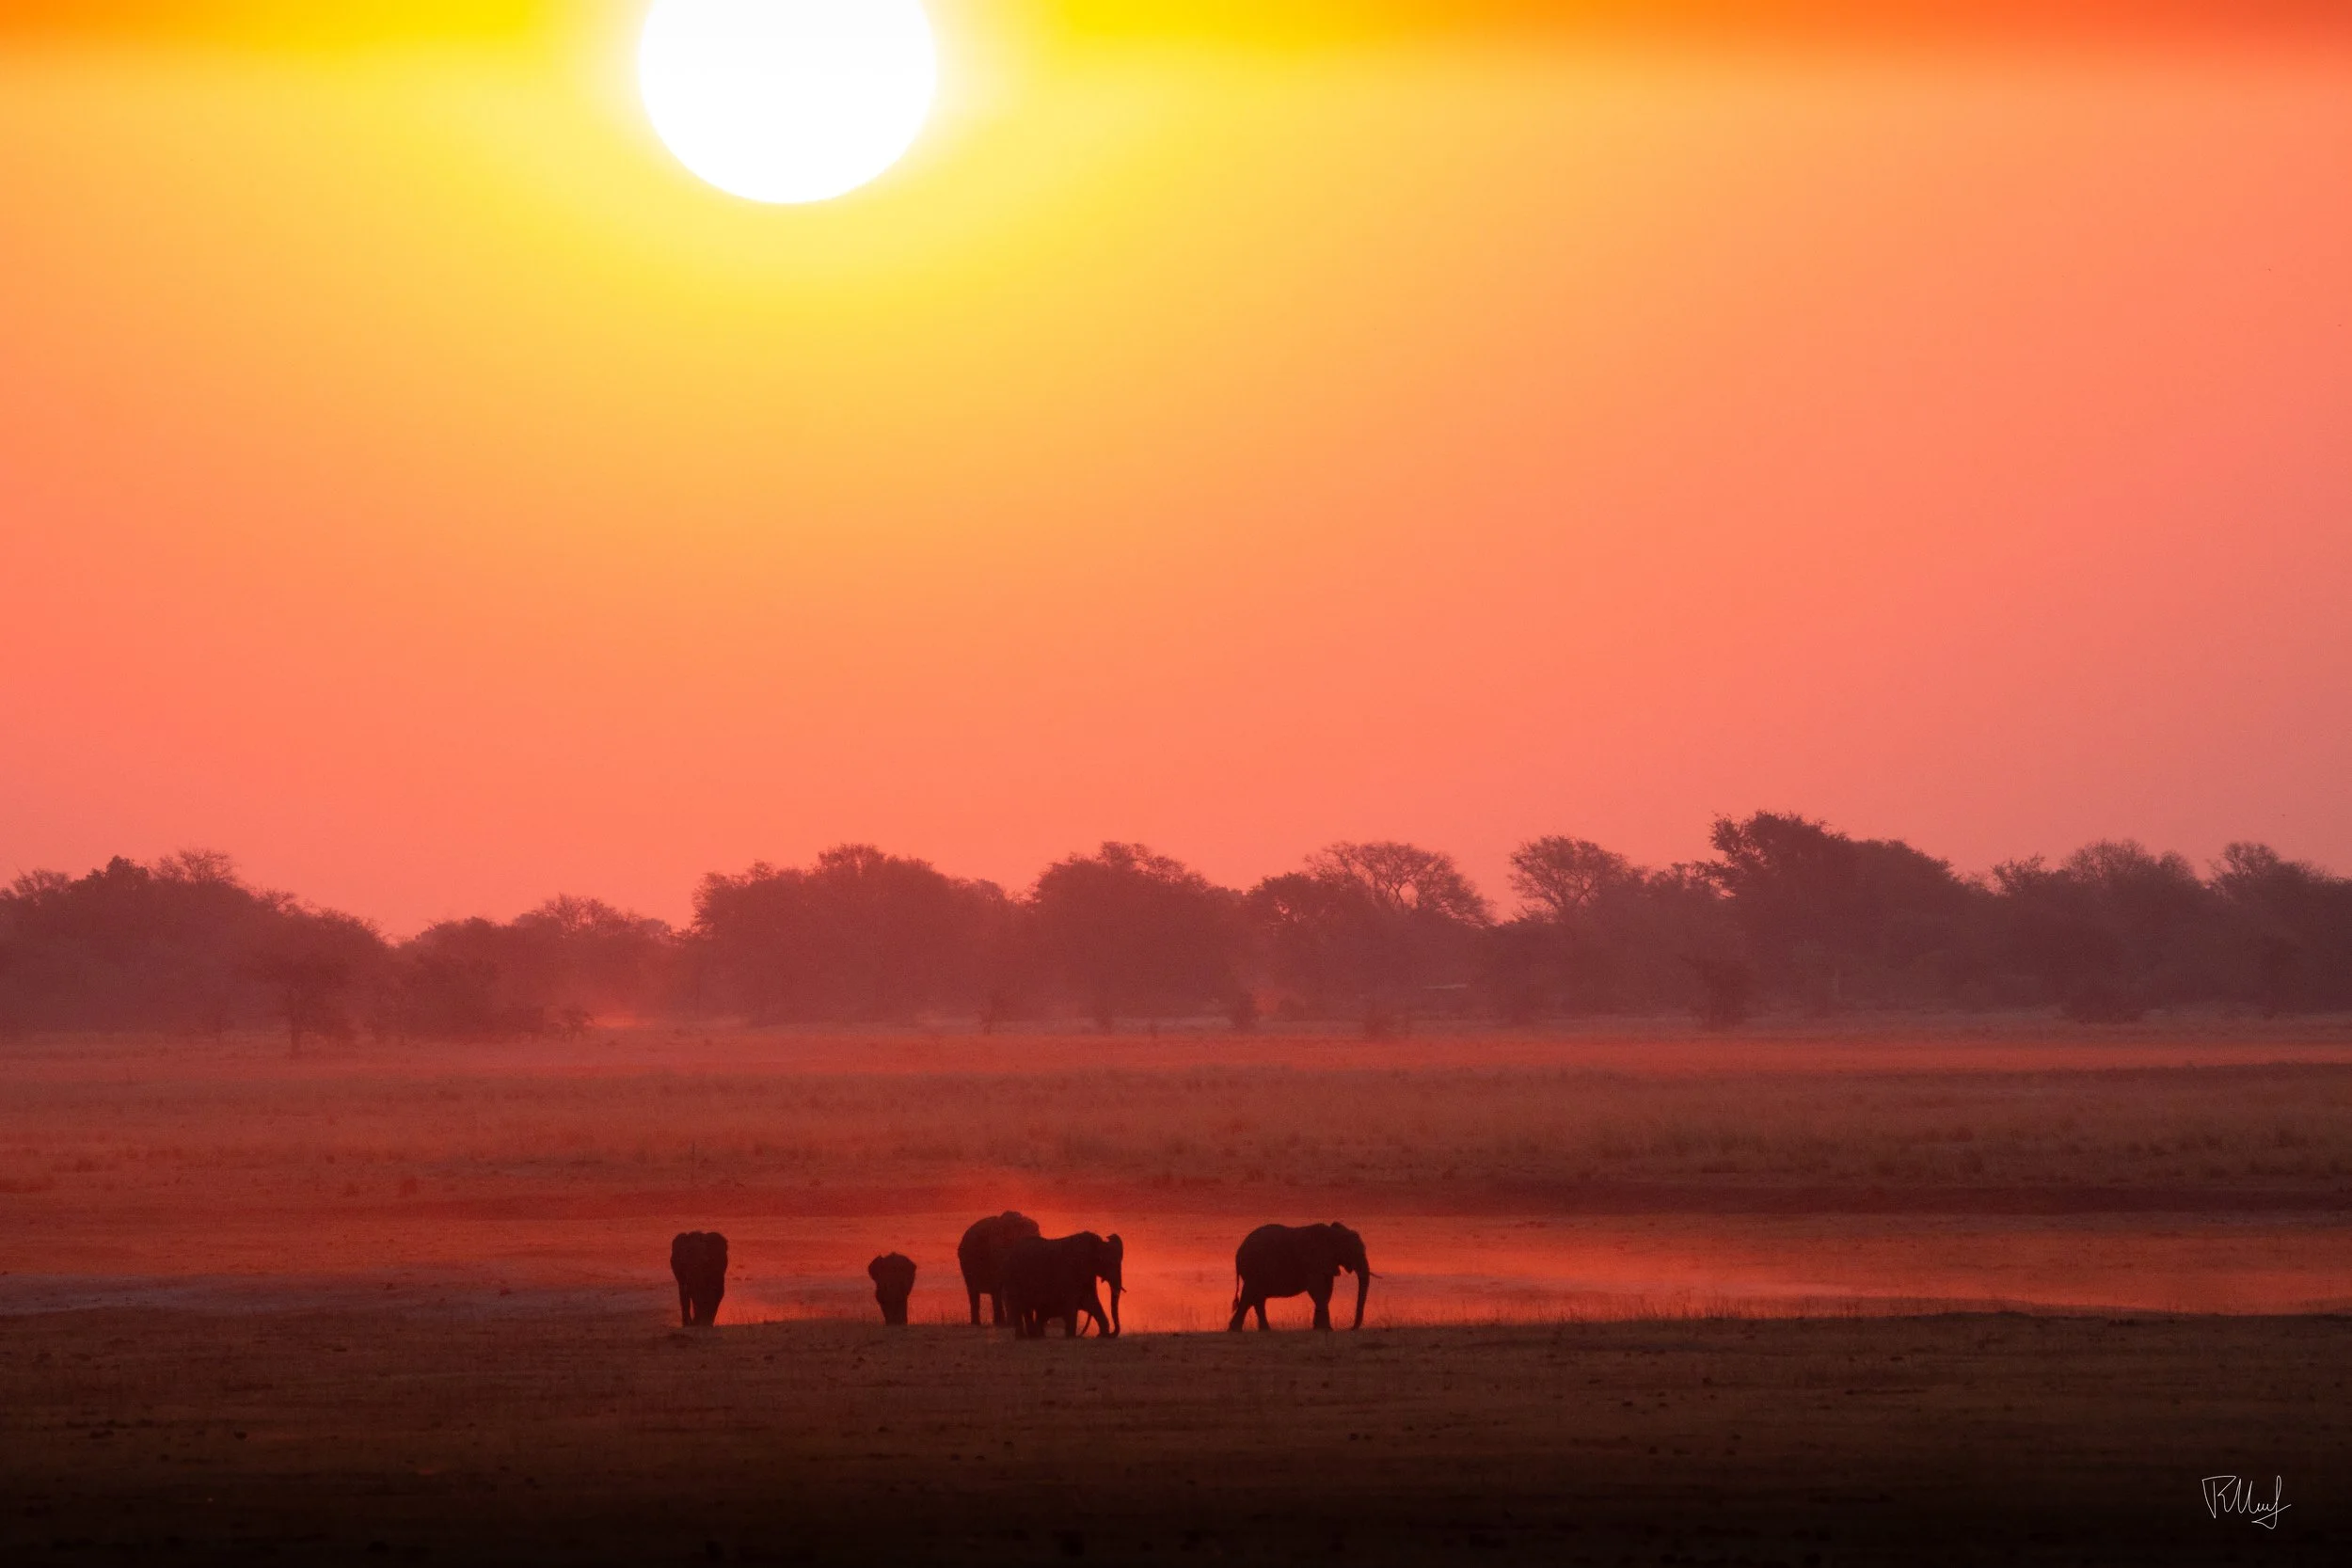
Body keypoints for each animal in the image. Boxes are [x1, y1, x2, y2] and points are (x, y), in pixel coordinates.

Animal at [999, 1231, 1124, 1339]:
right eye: (1111, 1263)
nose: (1112, 1334)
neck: (1098, 1244)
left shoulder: (1086, 1275)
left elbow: (1090, 1301)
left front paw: (1102, 1335)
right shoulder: (1072, 1271)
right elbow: (1074, 1301)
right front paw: (1071, 1337)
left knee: (1026, 1308)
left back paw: (1034, 1337)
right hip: (1012, 1278)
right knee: (1018, 1306)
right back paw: (1023, 1338)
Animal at [1229, 1222, 1370, 1331]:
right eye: (1352, 1252)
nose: (1351, 1329)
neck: (1334, 1233)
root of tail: (1238, 1252)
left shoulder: (1326, 1264)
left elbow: (1327, 1290)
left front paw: (1318, 1329)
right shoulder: (1312, 1261)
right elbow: (1317, 1290)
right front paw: (1328, 1330)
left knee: (1255, 1298)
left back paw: (1258, 1330)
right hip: (1253, 1268)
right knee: (1251, 1295)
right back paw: (1239, 1330)